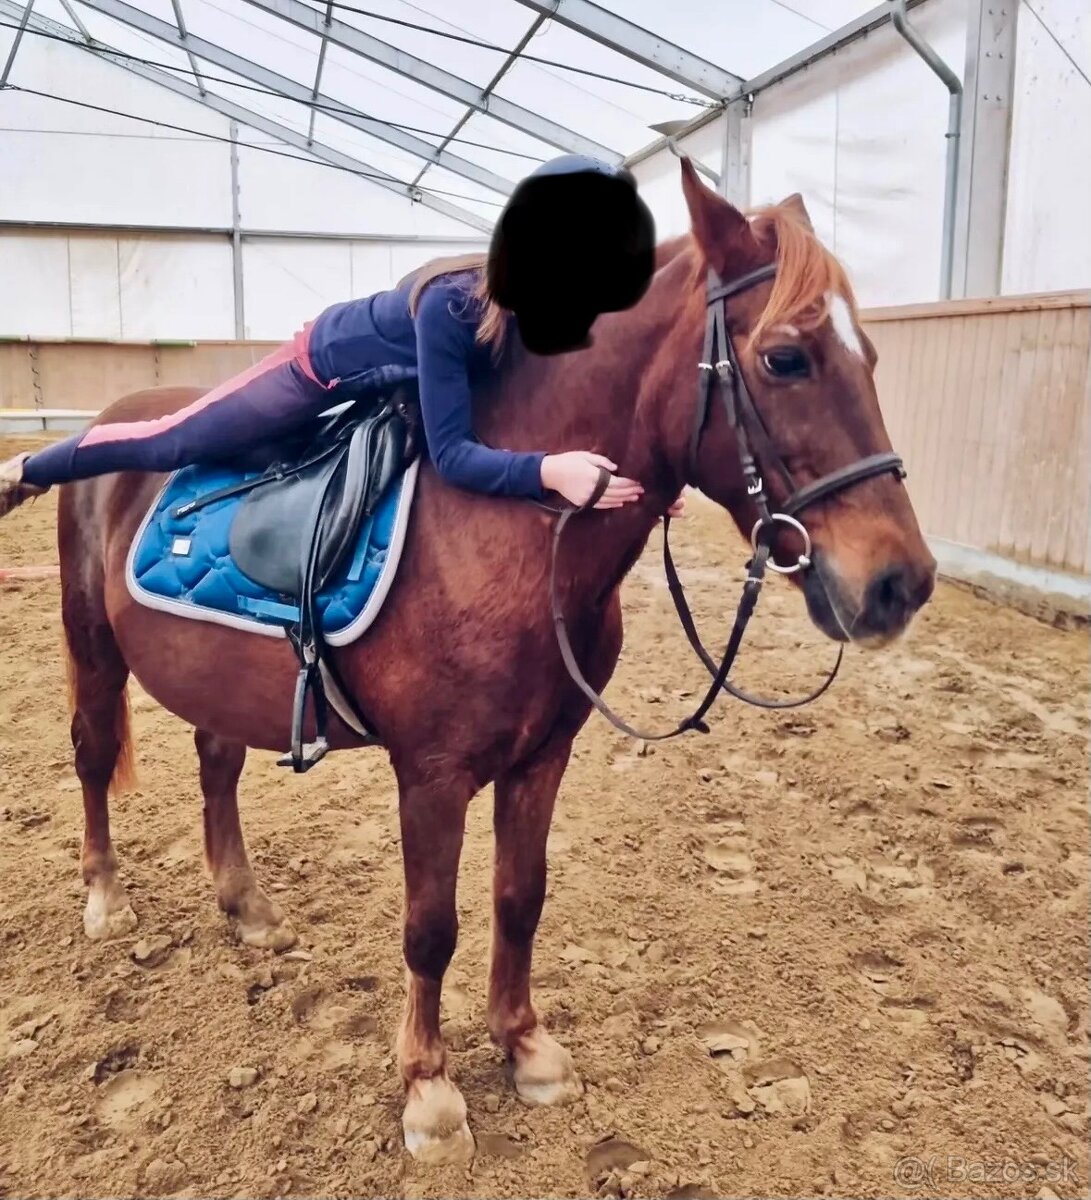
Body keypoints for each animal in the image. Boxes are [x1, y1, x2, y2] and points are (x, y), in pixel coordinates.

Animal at [54, 159, 935, 1162]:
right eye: (785, 357)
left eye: (868, 357)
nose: (898, 583)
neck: (504, 539)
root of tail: (117, 421)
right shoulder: (432, 775)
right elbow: (430, 928)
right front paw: (429, 1091)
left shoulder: (541, 757)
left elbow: (520, 897)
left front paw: (525, 1049)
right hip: (92, 645)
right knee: (92, 754)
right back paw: (105, 898)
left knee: (217, 762)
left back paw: (246, 907)